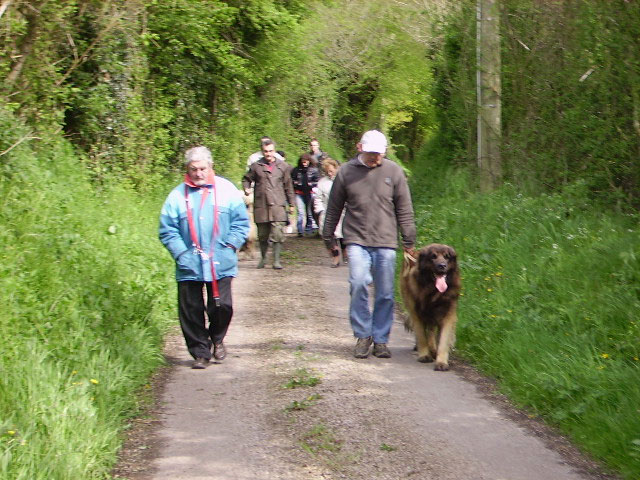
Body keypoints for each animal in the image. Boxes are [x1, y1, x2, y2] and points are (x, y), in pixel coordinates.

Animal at [400, 244, 460, 372]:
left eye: (447, 257)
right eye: (433, 257)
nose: (442, 266)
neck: (433, 291)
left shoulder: (448, 314)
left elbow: (443, 340)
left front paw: (441, 362)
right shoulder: (416, 312)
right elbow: (422, 336)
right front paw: (424, 355)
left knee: (431, 329)